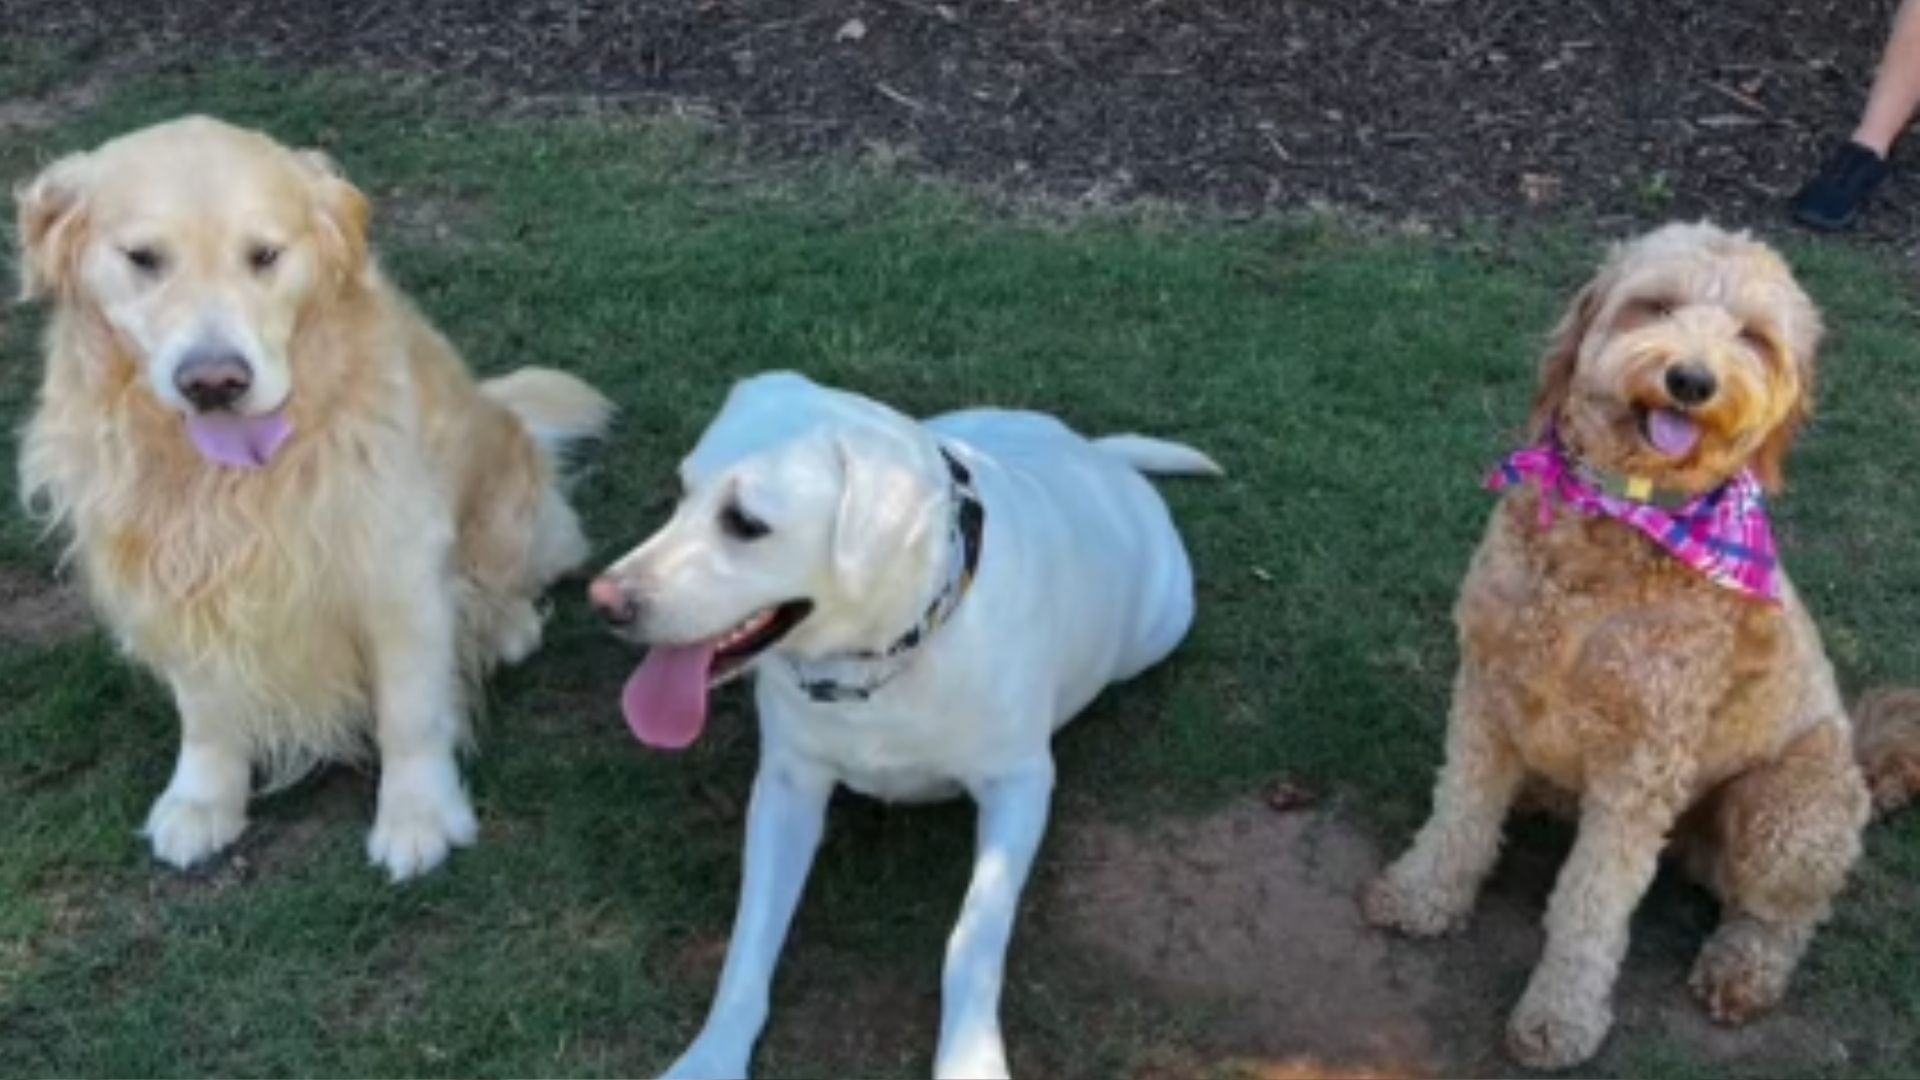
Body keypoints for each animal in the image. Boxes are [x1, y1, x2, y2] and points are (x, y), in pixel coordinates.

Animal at [13, 115, 606, 876]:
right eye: (143, 258)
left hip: (509, 511)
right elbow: (205, 711)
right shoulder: (178, 577)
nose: (214, 381)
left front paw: (419, 815)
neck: (228, 479)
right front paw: (203, 801)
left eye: (264, 255)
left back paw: (507, 626)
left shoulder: (398, 572)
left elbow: (411, 713)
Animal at [587, 372, 1213, 1076]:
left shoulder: (1020, 789)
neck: (880, 658)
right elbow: (749, 937)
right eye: (682, 491)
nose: (602, 600)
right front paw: (712, 1055)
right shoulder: (786, 787)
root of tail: (1097, 456)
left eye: (746, 523)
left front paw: (970, 1060)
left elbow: (973, 937)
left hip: (1161, 627)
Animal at [1367, 220, 1920, 1068]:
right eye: (1655, 305)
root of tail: (1863, 756)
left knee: (1784, 915)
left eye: (1752, 337)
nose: (1691, 380)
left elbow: (1592, 902)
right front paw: (1424, 894)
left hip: (1784, 808)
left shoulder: (1641, 763)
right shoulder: (1488, 696)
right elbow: (1459, 813)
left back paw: (1744, 968)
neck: (1617, 524)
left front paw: (1559, 1016)